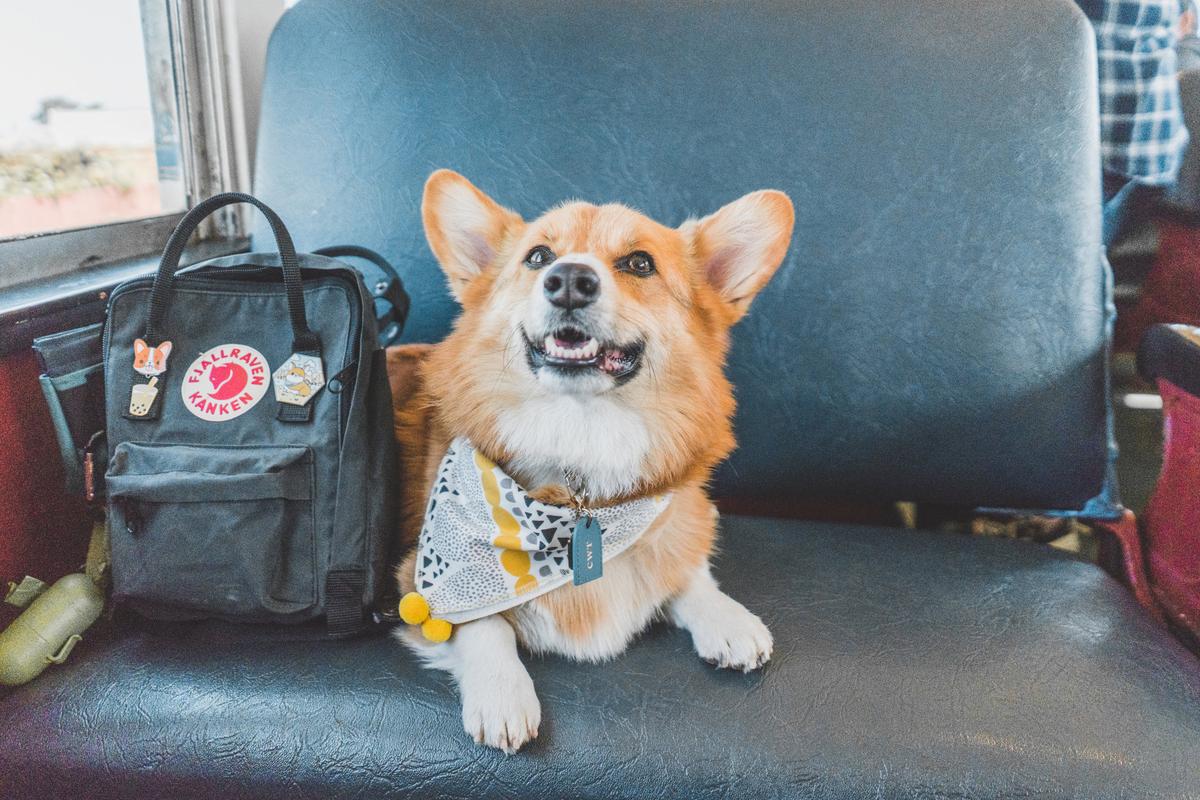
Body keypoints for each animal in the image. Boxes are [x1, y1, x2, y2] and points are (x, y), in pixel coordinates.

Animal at [388, 167, 792, 753]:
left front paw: (729, 618)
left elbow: (687, 569)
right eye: (538, 256)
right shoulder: (423, 579)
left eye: (640, 263)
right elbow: (482, 624)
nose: (569, 279)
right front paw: (503, 695)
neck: (582, 442)